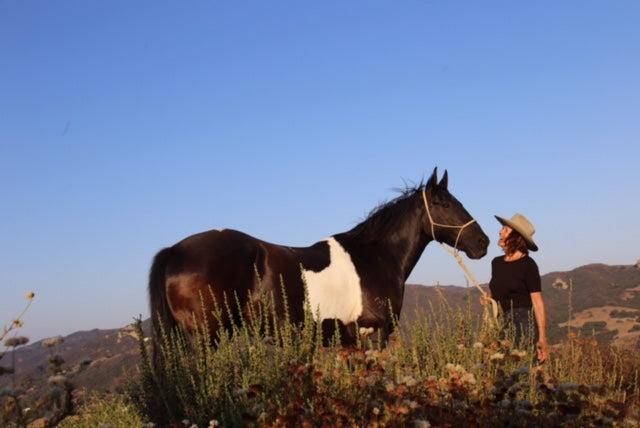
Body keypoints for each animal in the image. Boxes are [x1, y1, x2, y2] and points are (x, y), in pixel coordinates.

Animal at [148, 168, 489, 357]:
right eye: (444, 203)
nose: (482, 243)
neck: (375, 255)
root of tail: (174, 250)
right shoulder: (373, 335)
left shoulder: (349, 342)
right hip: (206, 338)